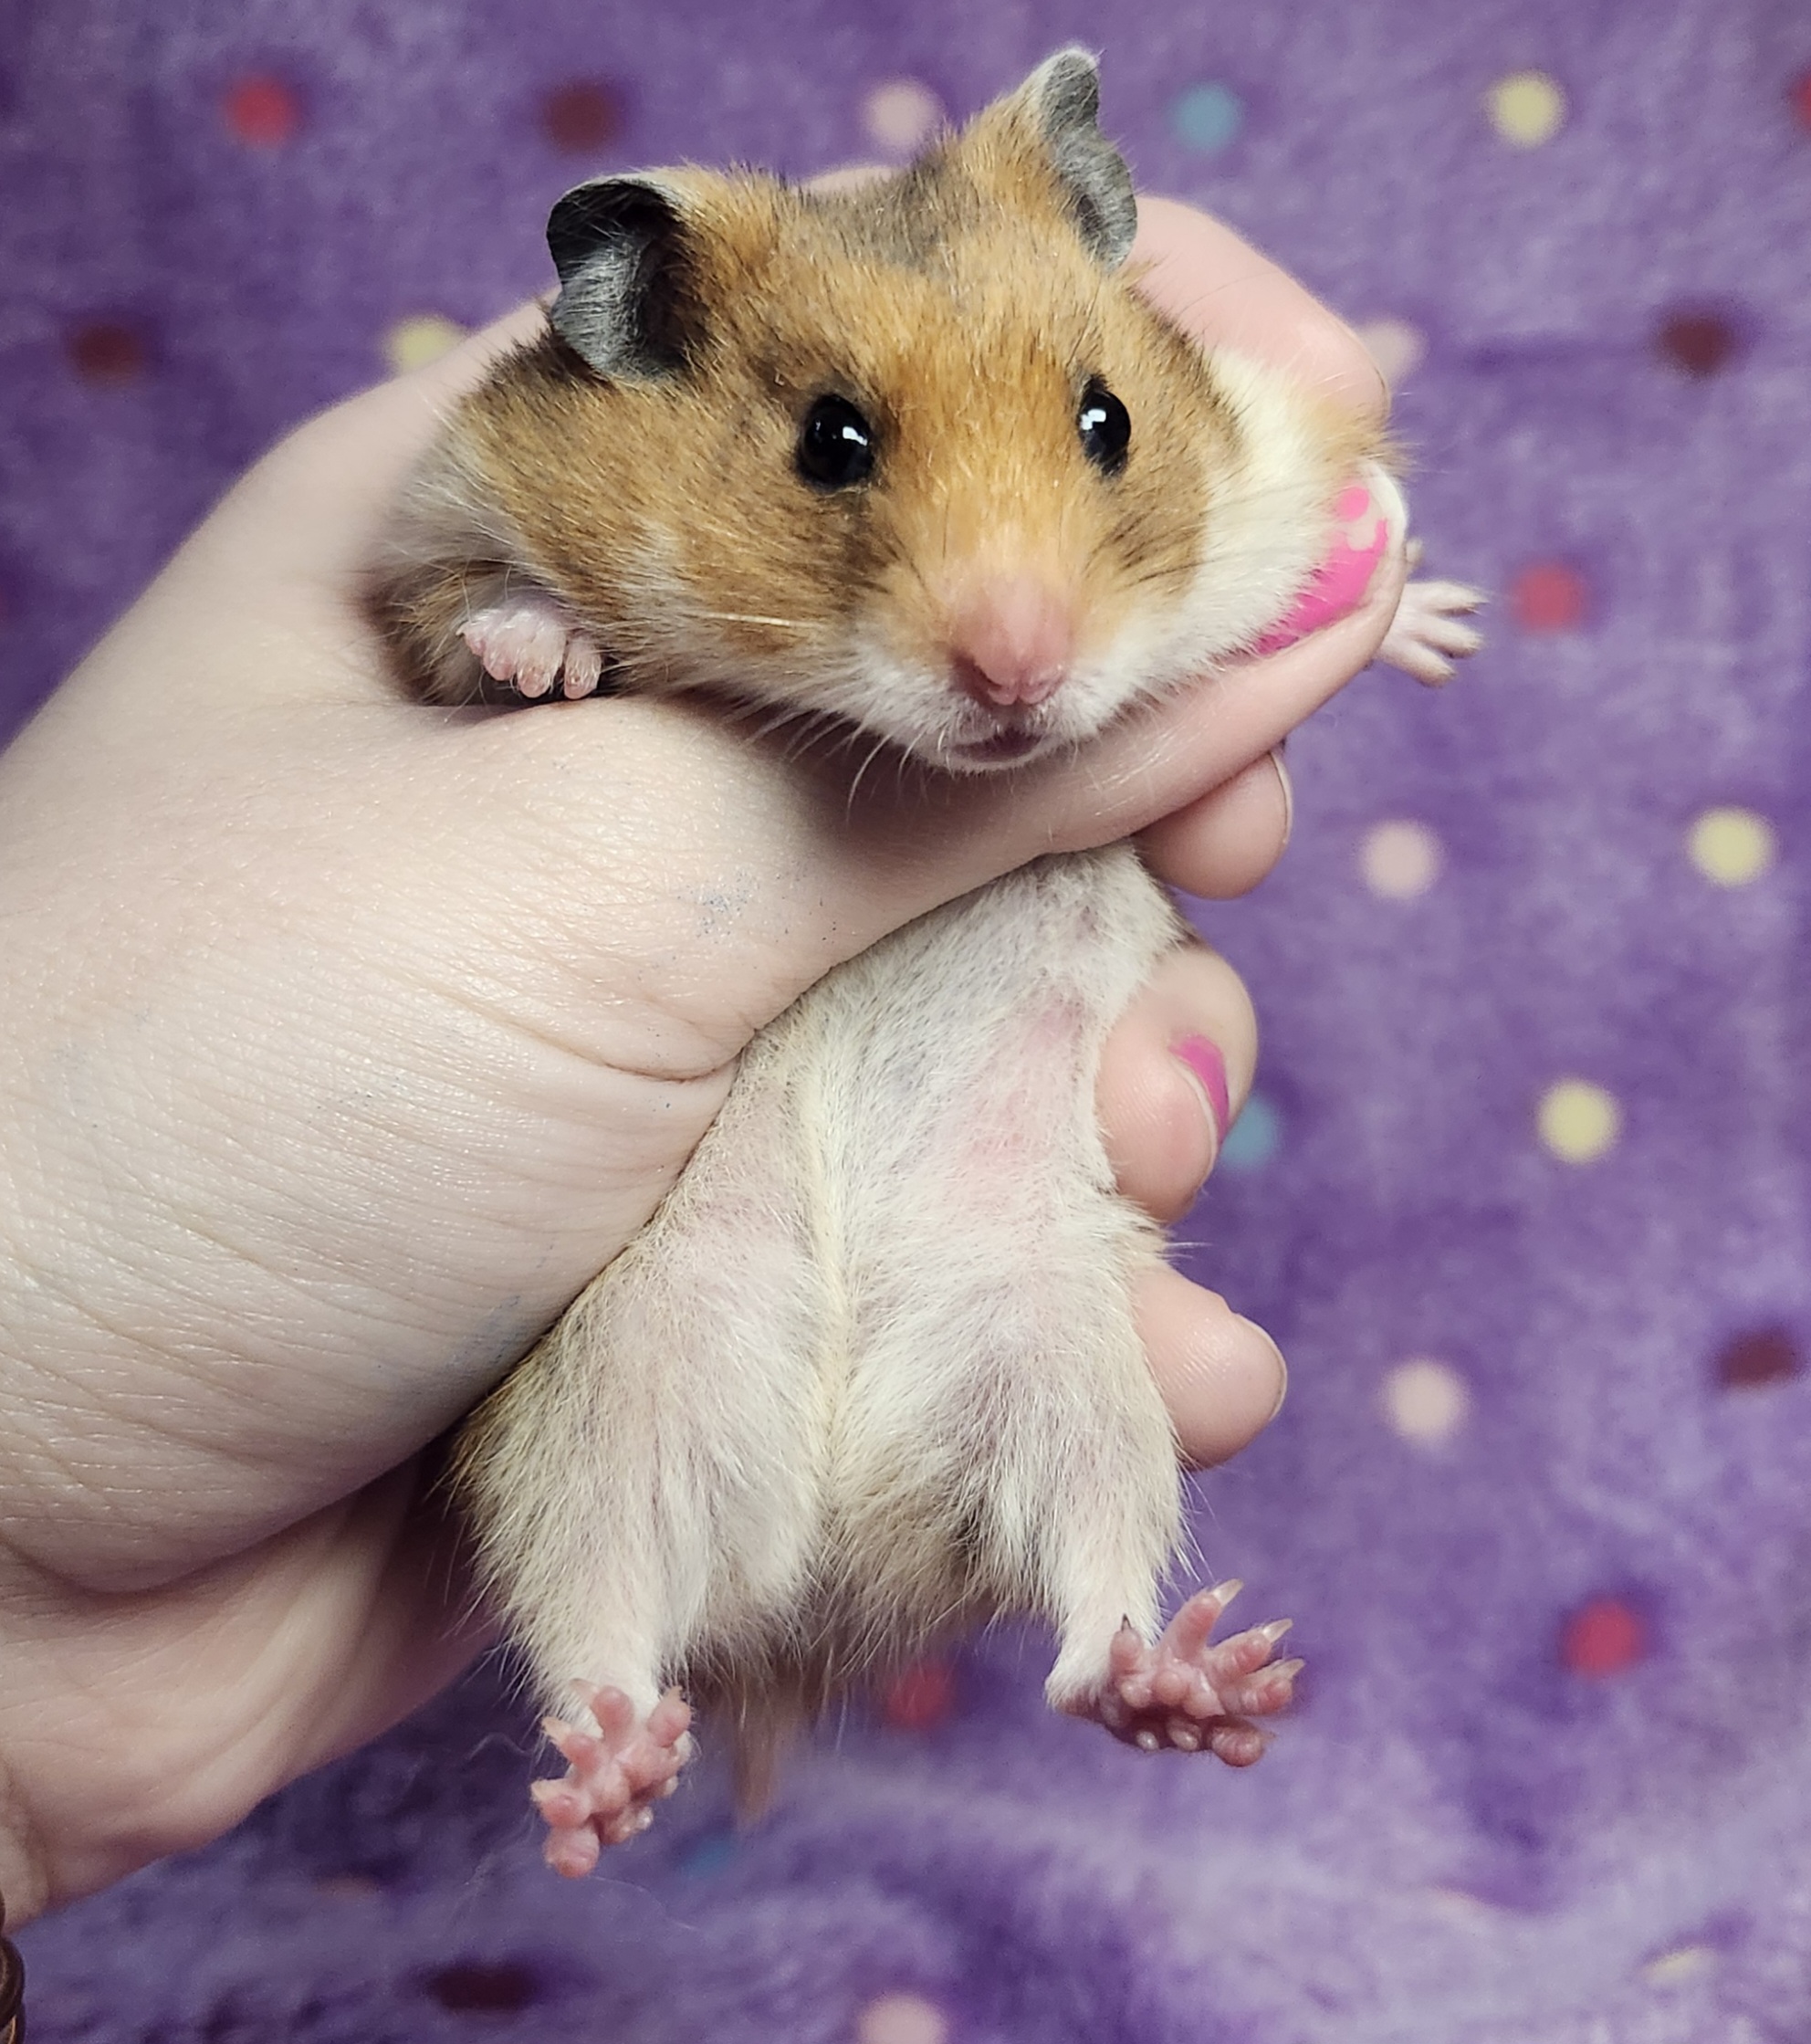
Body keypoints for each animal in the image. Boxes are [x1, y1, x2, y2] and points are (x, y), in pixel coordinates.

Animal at [373, 49, 1482, 1878]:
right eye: (831, 442)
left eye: (1108, 420)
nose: (1020, 671)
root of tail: (822, 1571)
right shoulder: (435, 520)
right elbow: (468, 616)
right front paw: (550, 654)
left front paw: (1421, 609)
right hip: (600, 1403)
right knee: (599, 1618)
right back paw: (608, 1781)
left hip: (1061, 1368)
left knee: (1086, 1614)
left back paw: (1195, 1685)